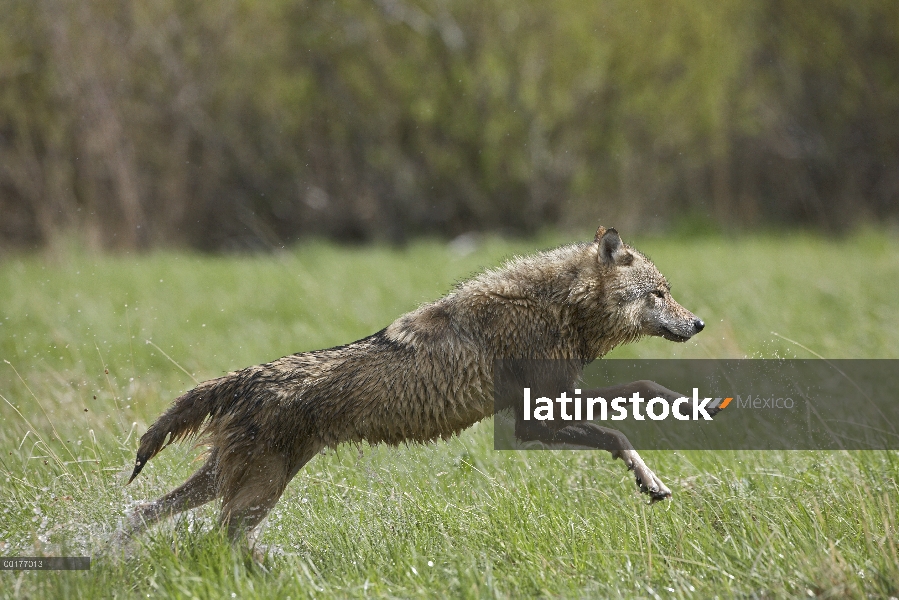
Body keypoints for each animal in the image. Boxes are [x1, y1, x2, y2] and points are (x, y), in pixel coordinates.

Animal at [123, 227, 708, 548]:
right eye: (658, 294)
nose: (699, 323)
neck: (555, 309)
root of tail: (242, 379)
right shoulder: (533, 419)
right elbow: (622, 427)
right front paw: (654, 474)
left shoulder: (542, 411)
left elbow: (635, 393)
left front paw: (686, 408)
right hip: (256, 491)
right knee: (215, 538)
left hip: (232, 483)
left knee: (143, 512)